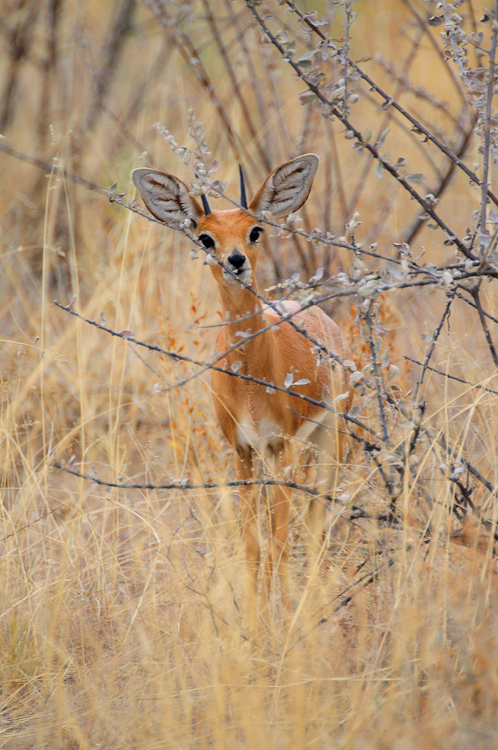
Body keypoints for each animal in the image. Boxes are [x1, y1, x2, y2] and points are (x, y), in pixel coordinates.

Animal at [132, 157, 350, 628]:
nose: (235, 261)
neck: (251, 378)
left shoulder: (284, 445)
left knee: (316, 523)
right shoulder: (243, 450)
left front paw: (285, 623)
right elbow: (253, 546)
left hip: (328, 442)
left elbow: (282, 540)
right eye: (205, 236)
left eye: (255, 230)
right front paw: (256, 623)